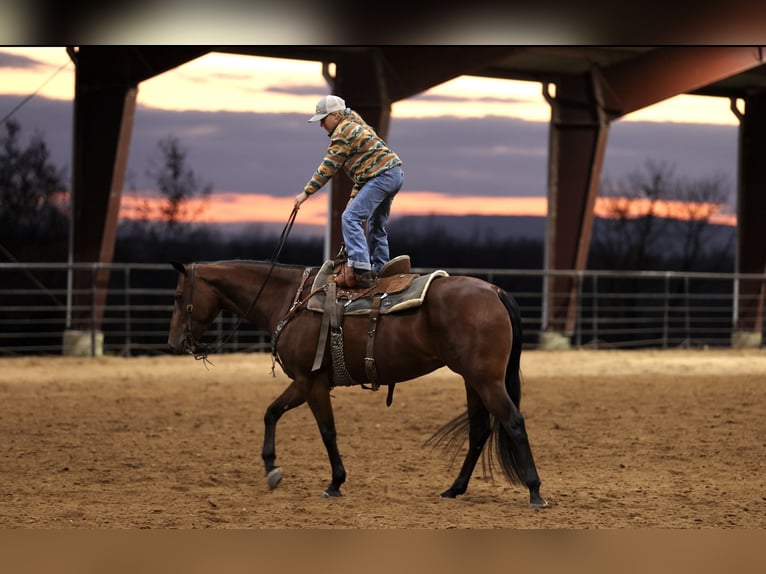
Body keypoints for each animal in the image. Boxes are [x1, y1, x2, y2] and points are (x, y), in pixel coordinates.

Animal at [167, 258, 548, 508]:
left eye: (178, 296)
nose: (174, 343)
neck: (292, 299)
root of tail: (494, 290)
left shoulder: (312, 383)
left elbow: (327, 431)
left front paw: (335, 482)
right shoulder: (303, 382)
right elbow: (271, 412)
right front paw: (272, 468)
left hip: (487, 380)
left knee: (513, 422)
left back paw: (534, 492)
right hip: (473, 380)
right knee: (479, 430)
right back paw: (454, 489)